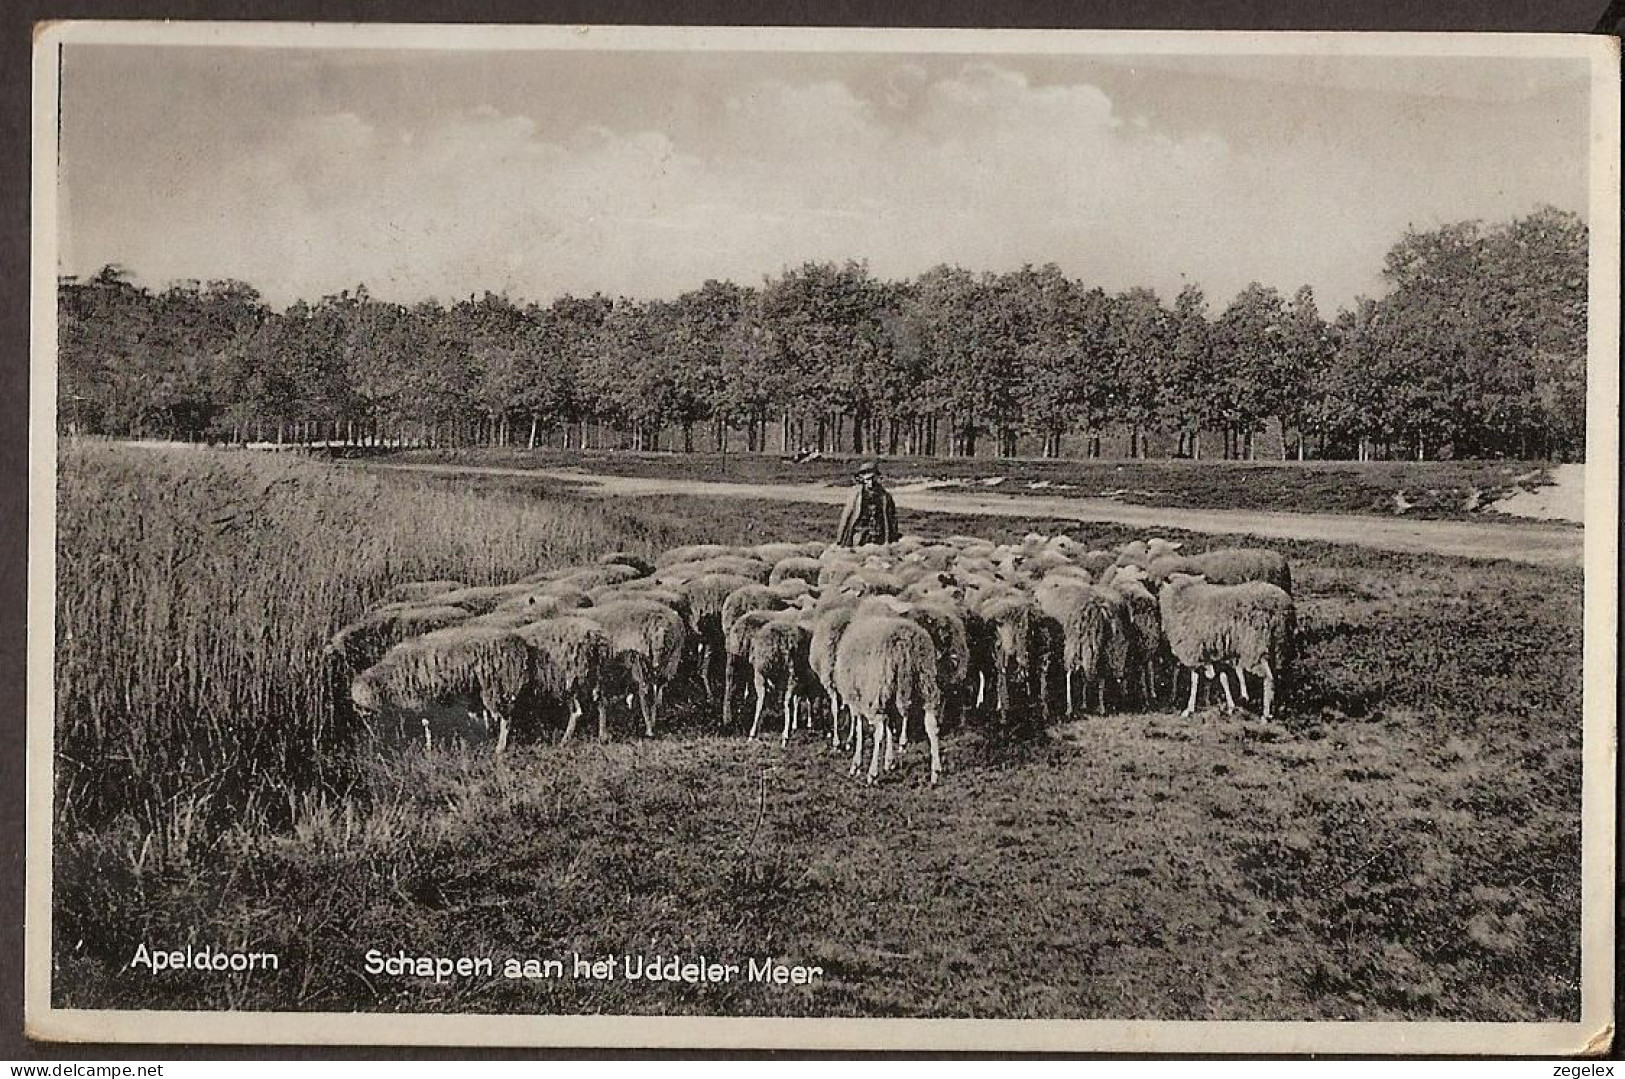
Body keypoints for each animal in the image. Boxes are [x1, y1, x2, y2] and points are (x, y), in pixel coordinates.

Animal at [354, 624, 533, 750]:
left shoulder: (421, 700)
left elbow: (427, 724)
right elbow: (427, 723)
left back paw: (500, 748)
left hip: (497, 686)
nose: (375, 737)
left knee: (506, 719)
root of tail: (519, 644)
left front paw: (430, 748)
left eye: (368, 713)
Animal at [838, 614, 942, 783]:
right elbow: (890, 726)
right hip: (925, 679)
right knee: (931, 723)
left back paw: (872, 773)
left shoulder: (857, 697)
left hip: (878, 688)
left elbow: (860, 729)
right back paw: (935, 771)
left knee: (879, 730)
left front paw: (856, 765)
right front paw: (889, 761)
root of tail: (904, 642)